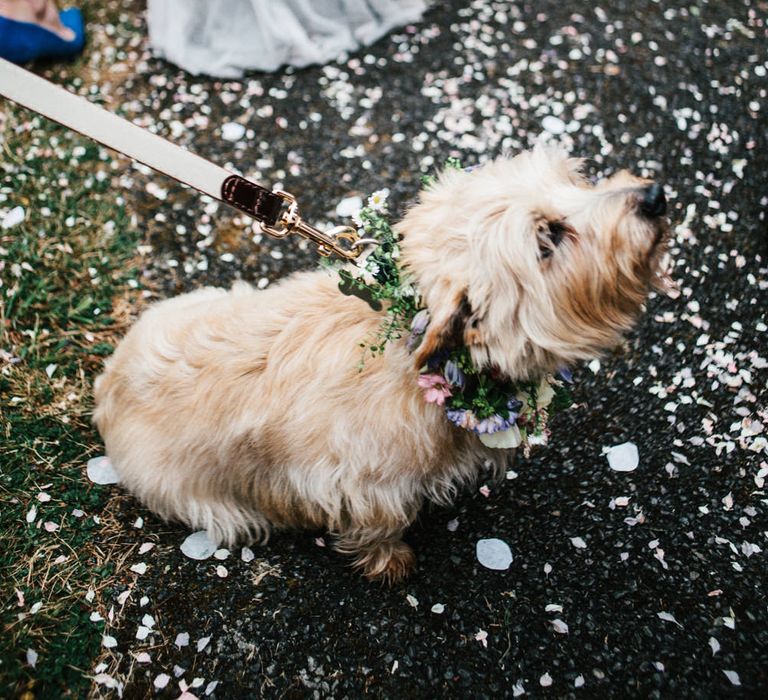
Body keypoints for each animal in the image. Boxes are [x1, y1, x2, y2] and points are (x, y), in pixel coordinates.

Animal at [93, 146, 668, 580]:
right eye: (549, 238)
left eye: (576, 179)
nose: (655, 196)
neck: (411, 348)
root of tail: (105, 387)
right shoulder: (359, 485)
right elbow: (378, 526)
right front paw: (390, 561)